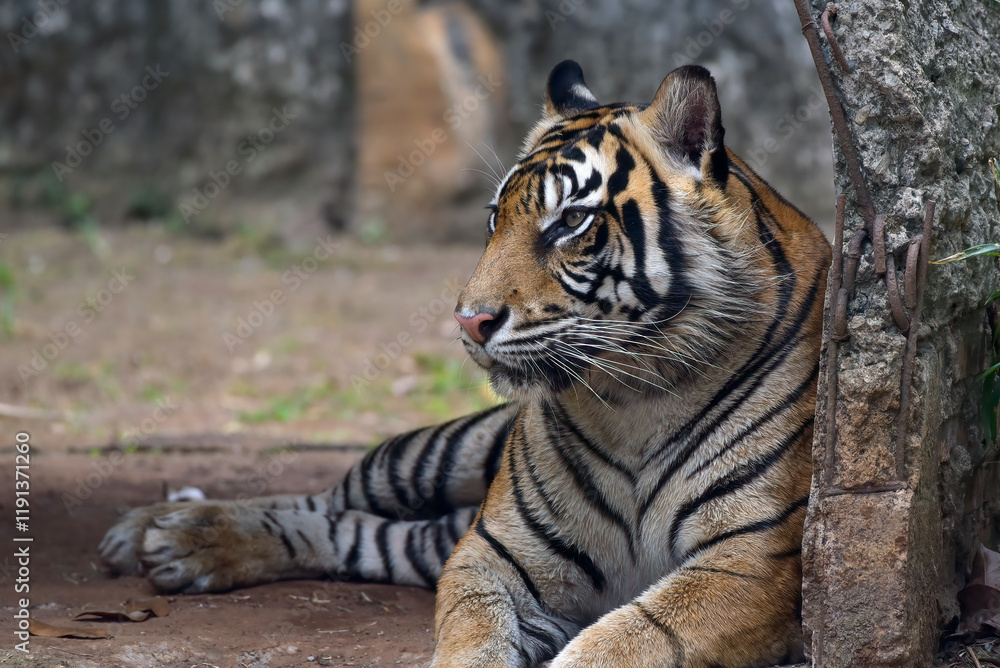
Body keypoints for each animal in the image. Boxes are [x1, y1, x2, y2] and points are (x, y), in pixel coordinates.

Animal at [100, 60, 831, 667]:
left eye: (570, 222)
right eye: (493, 219)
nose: (469, 321)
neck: (635, 398)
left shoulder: (748, 566)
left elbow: (623, 641)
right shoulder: (496, 553)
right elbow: (472, 630)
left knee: (363, 533)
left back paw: (174, 540)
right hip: (437, 457)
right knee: (332, 499)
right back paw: (163, 531)